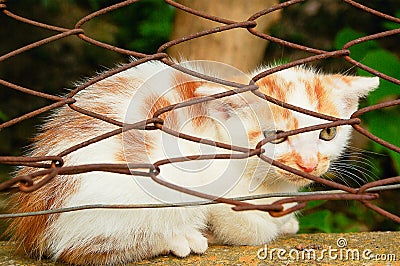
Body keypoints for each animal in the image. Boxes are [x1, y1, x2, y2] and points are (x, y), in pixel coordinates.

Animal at [7, 59, 380, 264]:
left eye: (328, 133)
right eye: (275, 136)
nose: (308, 163)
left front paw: (284, 217)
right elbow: (246, 226)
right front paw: (265, 226)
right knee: (76, 247)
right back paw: (181, 238)